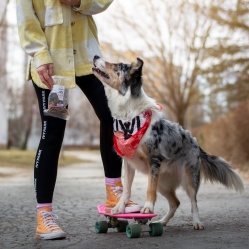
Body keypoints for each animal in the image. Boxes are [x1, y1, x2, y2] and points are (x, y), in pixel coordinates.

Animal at [92, 55, 243, 230]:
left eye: (116, 65)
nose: (95, 56)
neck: (129, 117)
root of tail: (196, 142)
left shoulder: (154, 160)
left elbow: (149, 190)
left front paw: (147, 208)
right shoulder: (129, 163)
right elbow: (126, 190)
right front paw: (119, 208)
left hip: (189, 179)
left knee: (193, 202)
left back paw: (196, 222)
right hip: (163, 182)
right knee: (175, 203)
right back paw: (161, 222)